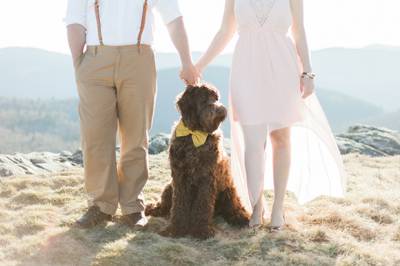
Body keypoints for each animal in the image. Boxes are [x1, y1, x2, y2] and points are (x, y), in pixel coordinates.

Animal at [145, 83, 248, 239]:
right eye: (204, 100)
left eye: (216, 98)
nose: (222, 110)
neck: (195, 135)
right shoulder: (180, 177)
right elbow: (179, 205)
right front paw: (175, 229)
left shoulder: (207, 177)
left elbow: (203, 204)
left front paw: (201, 229)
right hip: (169, 187)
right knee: (165, 205)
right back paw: (154, 209)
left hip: (228, 190)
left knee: (234, 206)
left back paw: (242, 217)